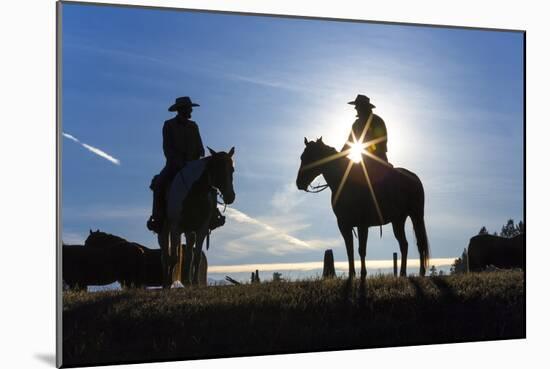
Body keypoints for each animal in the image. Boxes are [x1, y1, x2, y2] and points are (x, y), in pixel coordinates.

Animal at [161, 147, 236, 288]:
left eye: (232, 169)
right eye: (217, 168)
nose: (230, 196)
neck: (194, 192)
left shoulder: (202, 229)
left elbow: (197, 256)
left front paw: (195, 282)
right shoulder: (175, 227)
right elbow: (173, 256)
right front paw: (168, 283)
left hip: (189, 230)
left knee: (189, 251)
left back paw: (188, 281)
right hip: (166, 229)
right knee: (165, 253)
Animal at [298, 137, 432, 278]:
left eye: (311, 157)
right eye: (302, 157)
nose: (299, 183)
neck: (345, 182)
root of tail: (414, 177)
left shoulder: (362, 224)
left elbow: (361, 250)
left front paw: (363, 274)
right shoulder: (344, 225)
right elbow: (349, 250)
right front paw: (351, 275)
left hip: (416, 215)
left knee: (420, 243)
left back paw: (421, 272)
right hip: (398, 221)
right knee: (404, 244)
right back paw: (402, 273)